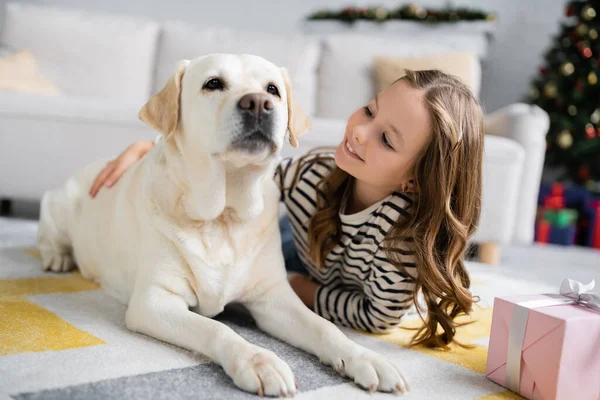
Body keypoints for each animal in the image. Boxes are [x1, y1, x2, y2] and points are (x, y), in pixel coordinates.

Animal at [36, 53, 408, 396]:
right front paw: (259, 361)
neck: (223, 216)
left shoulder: (273, 299)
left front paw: (365, 357)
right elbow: (215, 328)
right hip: (60, 204)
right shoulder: (154, 302)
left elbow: (324, 328)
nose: (258, 104)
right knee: (48, 233)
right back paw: (57, 257)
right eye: (213, 83)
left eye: (272, 89)